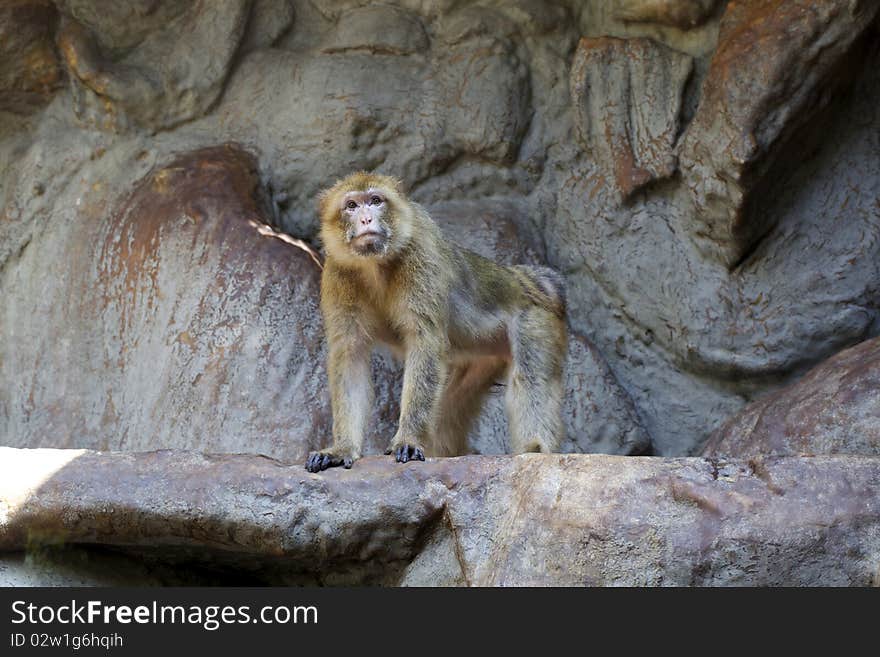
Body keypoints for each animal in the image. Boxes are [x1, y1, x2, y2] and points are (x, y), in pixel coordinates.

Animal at [306, 172, 568, 472]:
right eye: (351, 206)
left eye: (375, 201)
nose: (366, 219)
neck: (375, 265)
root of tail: (526, 280)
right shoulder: (337, 272)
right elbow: (350, 355)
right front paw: (342, 447)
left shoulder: (421, 254)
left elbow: (425, 341)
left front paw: (408, 440)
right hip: (477, 359)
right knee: (450, 403)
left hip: (535, 319)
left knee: (531, 378)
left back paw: (535, 451)